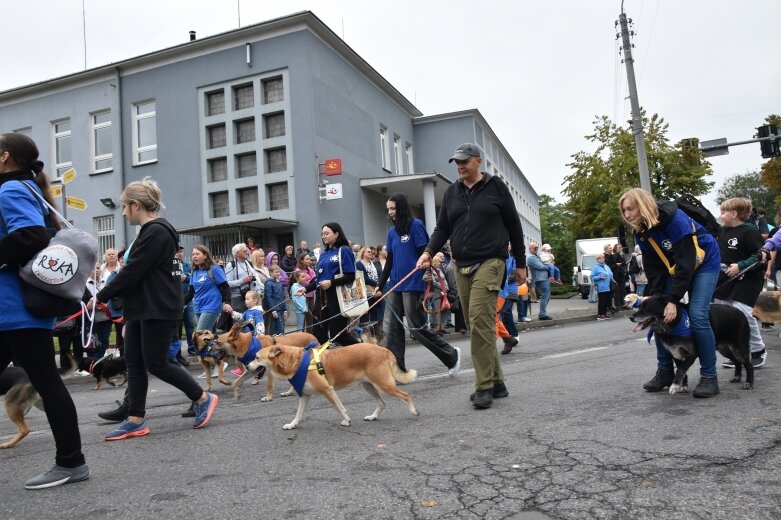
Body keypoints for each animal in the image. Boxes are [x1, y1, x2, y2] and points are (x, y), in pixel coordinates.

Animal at [250, 342, 420, 430]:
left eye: (257, 357)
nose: (247, 366)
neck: (295, 361)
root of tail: (383, 349)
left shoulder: (328, 390)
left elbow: (340, 408)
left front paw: (347, 420)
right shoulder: (305, 395)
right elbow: (298, 413)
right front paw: (292, 425)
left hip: (384, 385)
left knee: (405, 395)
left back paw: (413, 411)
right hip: (369, 386)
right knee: (382, 403)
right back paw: (373, 416)